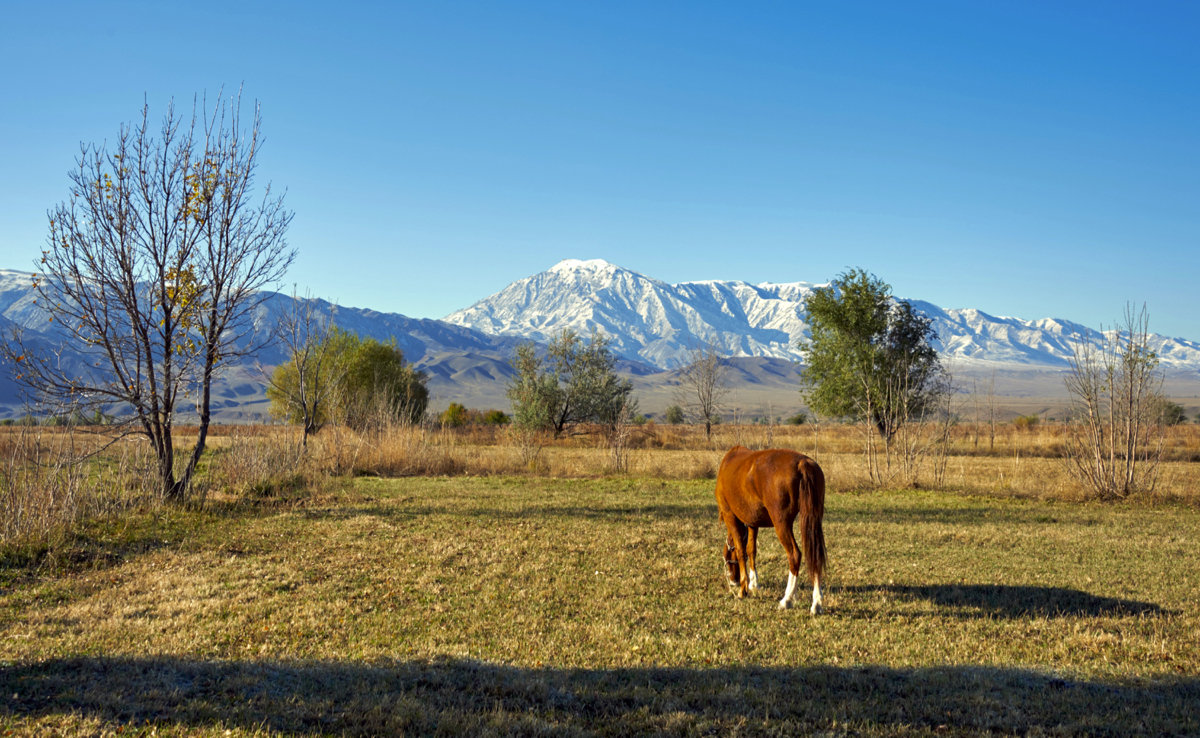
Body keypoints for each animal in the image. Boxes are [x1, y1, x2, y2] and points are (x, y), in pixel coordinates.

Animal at [710, 444, 825, 612]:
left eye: (726, 556)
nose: (733, 580)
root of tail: (802, 463)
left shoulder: (730, 516)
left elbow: (740, 551)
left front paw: (743, 589)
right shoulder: (752, 522)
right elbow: (751, 550)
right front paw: (753, 583)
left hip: (782, 524)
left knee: (794, 555)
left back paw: (787, 599)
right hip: (813, 522)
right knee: (815, 556)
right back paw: (817, 602)